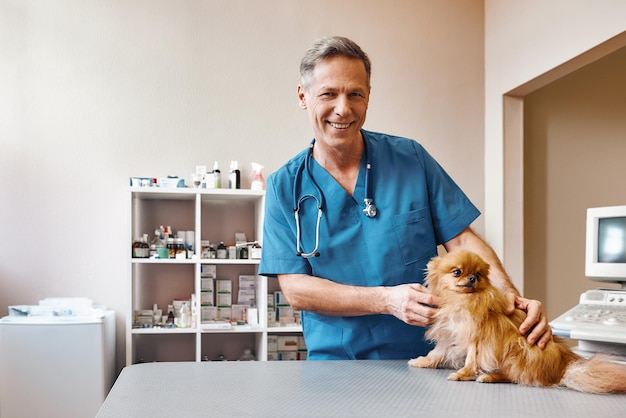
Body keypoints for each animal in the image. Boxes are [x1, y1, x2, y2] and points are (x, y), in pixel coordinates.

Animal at [408, 250, 624, 394]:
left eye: (478, 275)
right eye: (457, 272)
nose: (471, 278)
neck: (462, 301)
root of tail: (562, 369)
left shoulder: (476, 338)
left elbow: (471, 359)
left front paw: (463, 374)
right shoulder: (450, 334)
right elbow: (437, 353)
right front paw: (421, 361)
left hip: (519, 347)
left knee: (515, 376)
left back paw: (489, 376)